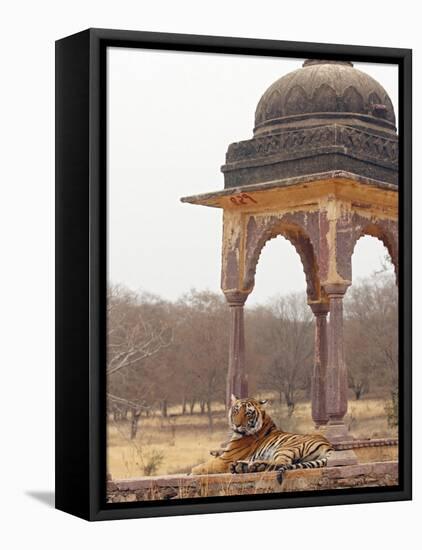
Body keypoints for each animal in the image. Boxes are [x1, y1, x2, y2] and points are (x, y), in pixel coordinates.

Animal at [191, 396, 332, 484]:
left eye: (248, 413)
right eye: (236, 411)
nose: (236, 425)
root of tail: (328, 445)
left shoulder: (226, 459)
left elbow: (203, 466)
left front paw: (192, 472)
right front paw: (214, 451)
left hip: (285, 447)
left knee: (281, 463)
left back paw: (253, 466)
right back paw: (243, 467)